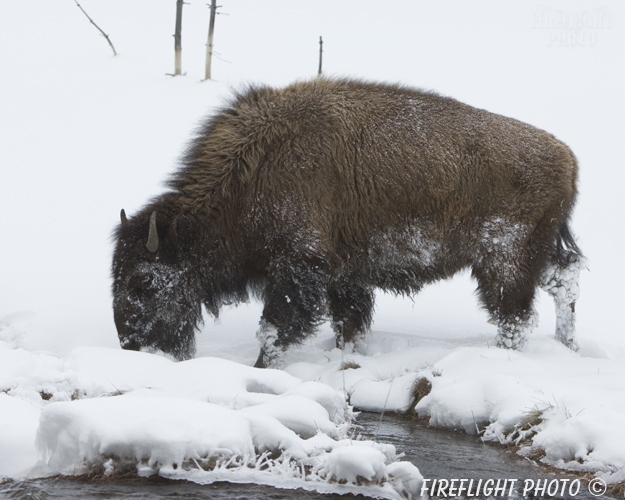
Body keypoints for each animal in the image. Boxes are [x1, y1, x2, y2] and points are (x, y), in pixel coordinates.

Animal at [111, 78, 580, 368]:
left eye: (144, 281)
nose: (130, 344)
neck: (255, 169)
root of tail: (568, 159)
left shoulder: (298, 266)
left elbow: (275, 328)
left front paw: (261, 369)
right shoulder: (342, 274)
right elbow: (346, 322)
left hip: (504, 261)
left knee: (514, 316)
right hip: (535, 255)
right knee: (563, 281)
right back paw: (569, 345)